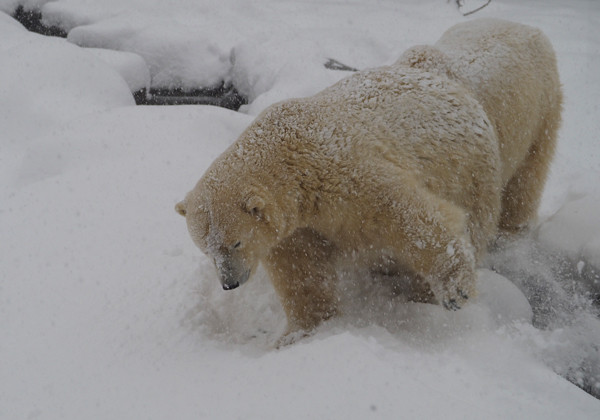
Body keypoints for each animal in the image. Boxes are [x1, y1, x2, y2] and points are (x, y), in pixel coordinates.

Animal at [176, 19, 560, 340]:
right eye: (207, 249)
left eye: (236, 242)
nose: (229, 284)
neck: (292, 159)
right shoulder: (297, 225)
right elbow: (301, 272)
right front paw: (300, 333)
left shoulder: (347, 175)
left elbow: (411, 218)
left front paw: (455, 290)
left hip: (478, 162)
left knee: (507, 194)